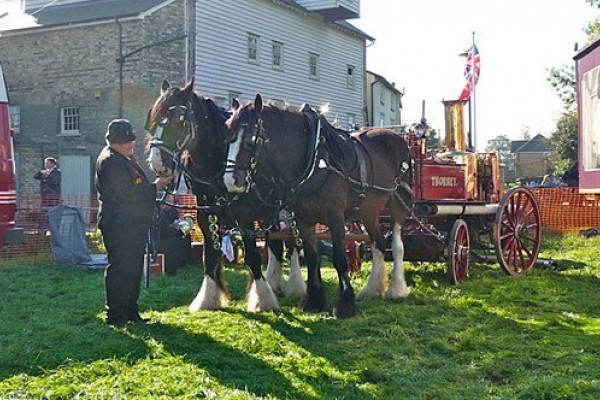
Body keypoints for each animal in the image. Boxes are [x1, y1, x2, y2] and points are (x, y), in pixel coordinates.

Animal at [144, 80, 304, 312]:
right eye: (153, 119)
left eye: (179, 119)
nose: (157, 163)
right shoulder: (205, 211)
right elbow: (210, 256)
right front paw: (208, 299)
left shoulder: (245, 215)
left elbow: (252, 256)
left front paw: (262, 299)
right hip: (268, 210)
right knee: (275, 242)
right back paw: (275, 283)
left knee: (292, 243)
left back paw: (295, 286)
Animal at [223, 94, 414, 318]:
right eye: (227, 137)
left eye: (249, 139)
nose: (230, 181)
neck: (314, 160)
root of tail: (401, 140)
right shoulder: (303, 219)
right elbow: (312, 256)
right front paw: (313, 300)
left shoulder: (335, 217)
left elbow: (340, 258)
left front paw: (345, 304)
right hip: (369, 210)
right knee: (378, 244)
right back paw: (372, 289)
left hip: (398, 203)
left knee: (397, 245)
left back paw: (396, 289)